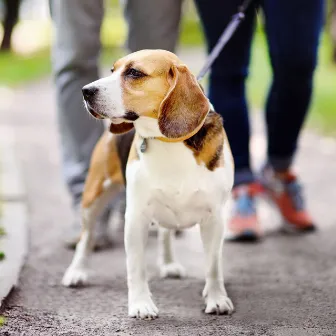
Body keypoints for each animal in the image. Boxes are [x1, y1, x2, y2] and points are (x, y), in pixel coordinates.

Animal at [61, 48, 234, 318]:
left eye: (134, 73)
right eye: (112, 70)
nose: (86, 90)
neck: (169, 142)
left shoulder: (215, 219)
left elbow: (213, 266)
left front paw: (217, 299)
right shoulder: (135, 218)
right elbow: (136, 267)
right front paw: (141, 304)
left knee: (165, 233)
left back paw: (169, 263)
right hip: (93, 198)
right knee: (86, 238)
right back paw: (76, 272)